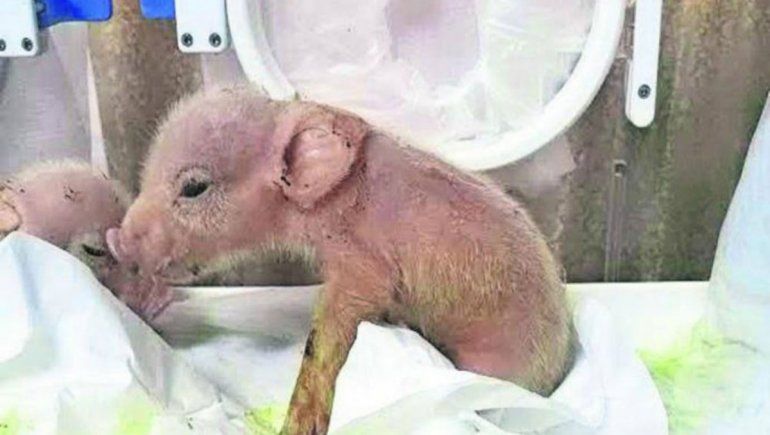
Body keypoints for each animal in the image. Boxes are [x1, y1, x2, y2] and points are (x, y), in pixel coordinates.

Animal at [106, 85, 575, 434]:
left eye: (194, 188)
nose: (117, 238)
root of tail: (557, 368)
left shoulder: (362, 265)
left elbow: (328, 335)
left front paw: (295, 426)